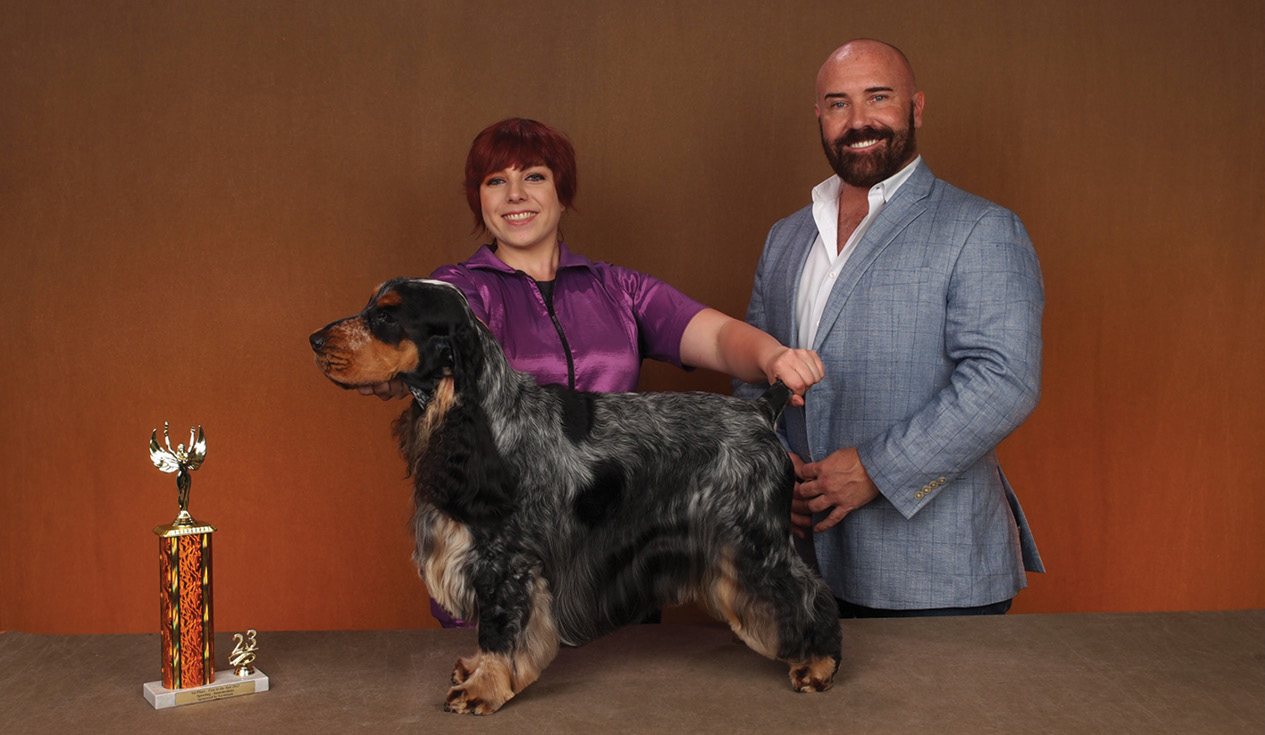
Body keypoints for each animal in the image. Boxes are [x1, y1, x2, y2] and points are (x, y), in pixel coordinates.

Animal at [308, 278, 839, 713]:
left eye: (386, 316)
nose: (313, 340)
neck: (484, 417)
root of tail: (760, 410)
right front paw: (475, 669)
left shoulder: (506, 561)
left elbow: (499, 628)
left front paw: (484, 688)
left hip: (752, 538)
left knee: (808, 594)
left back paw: (819, 665)